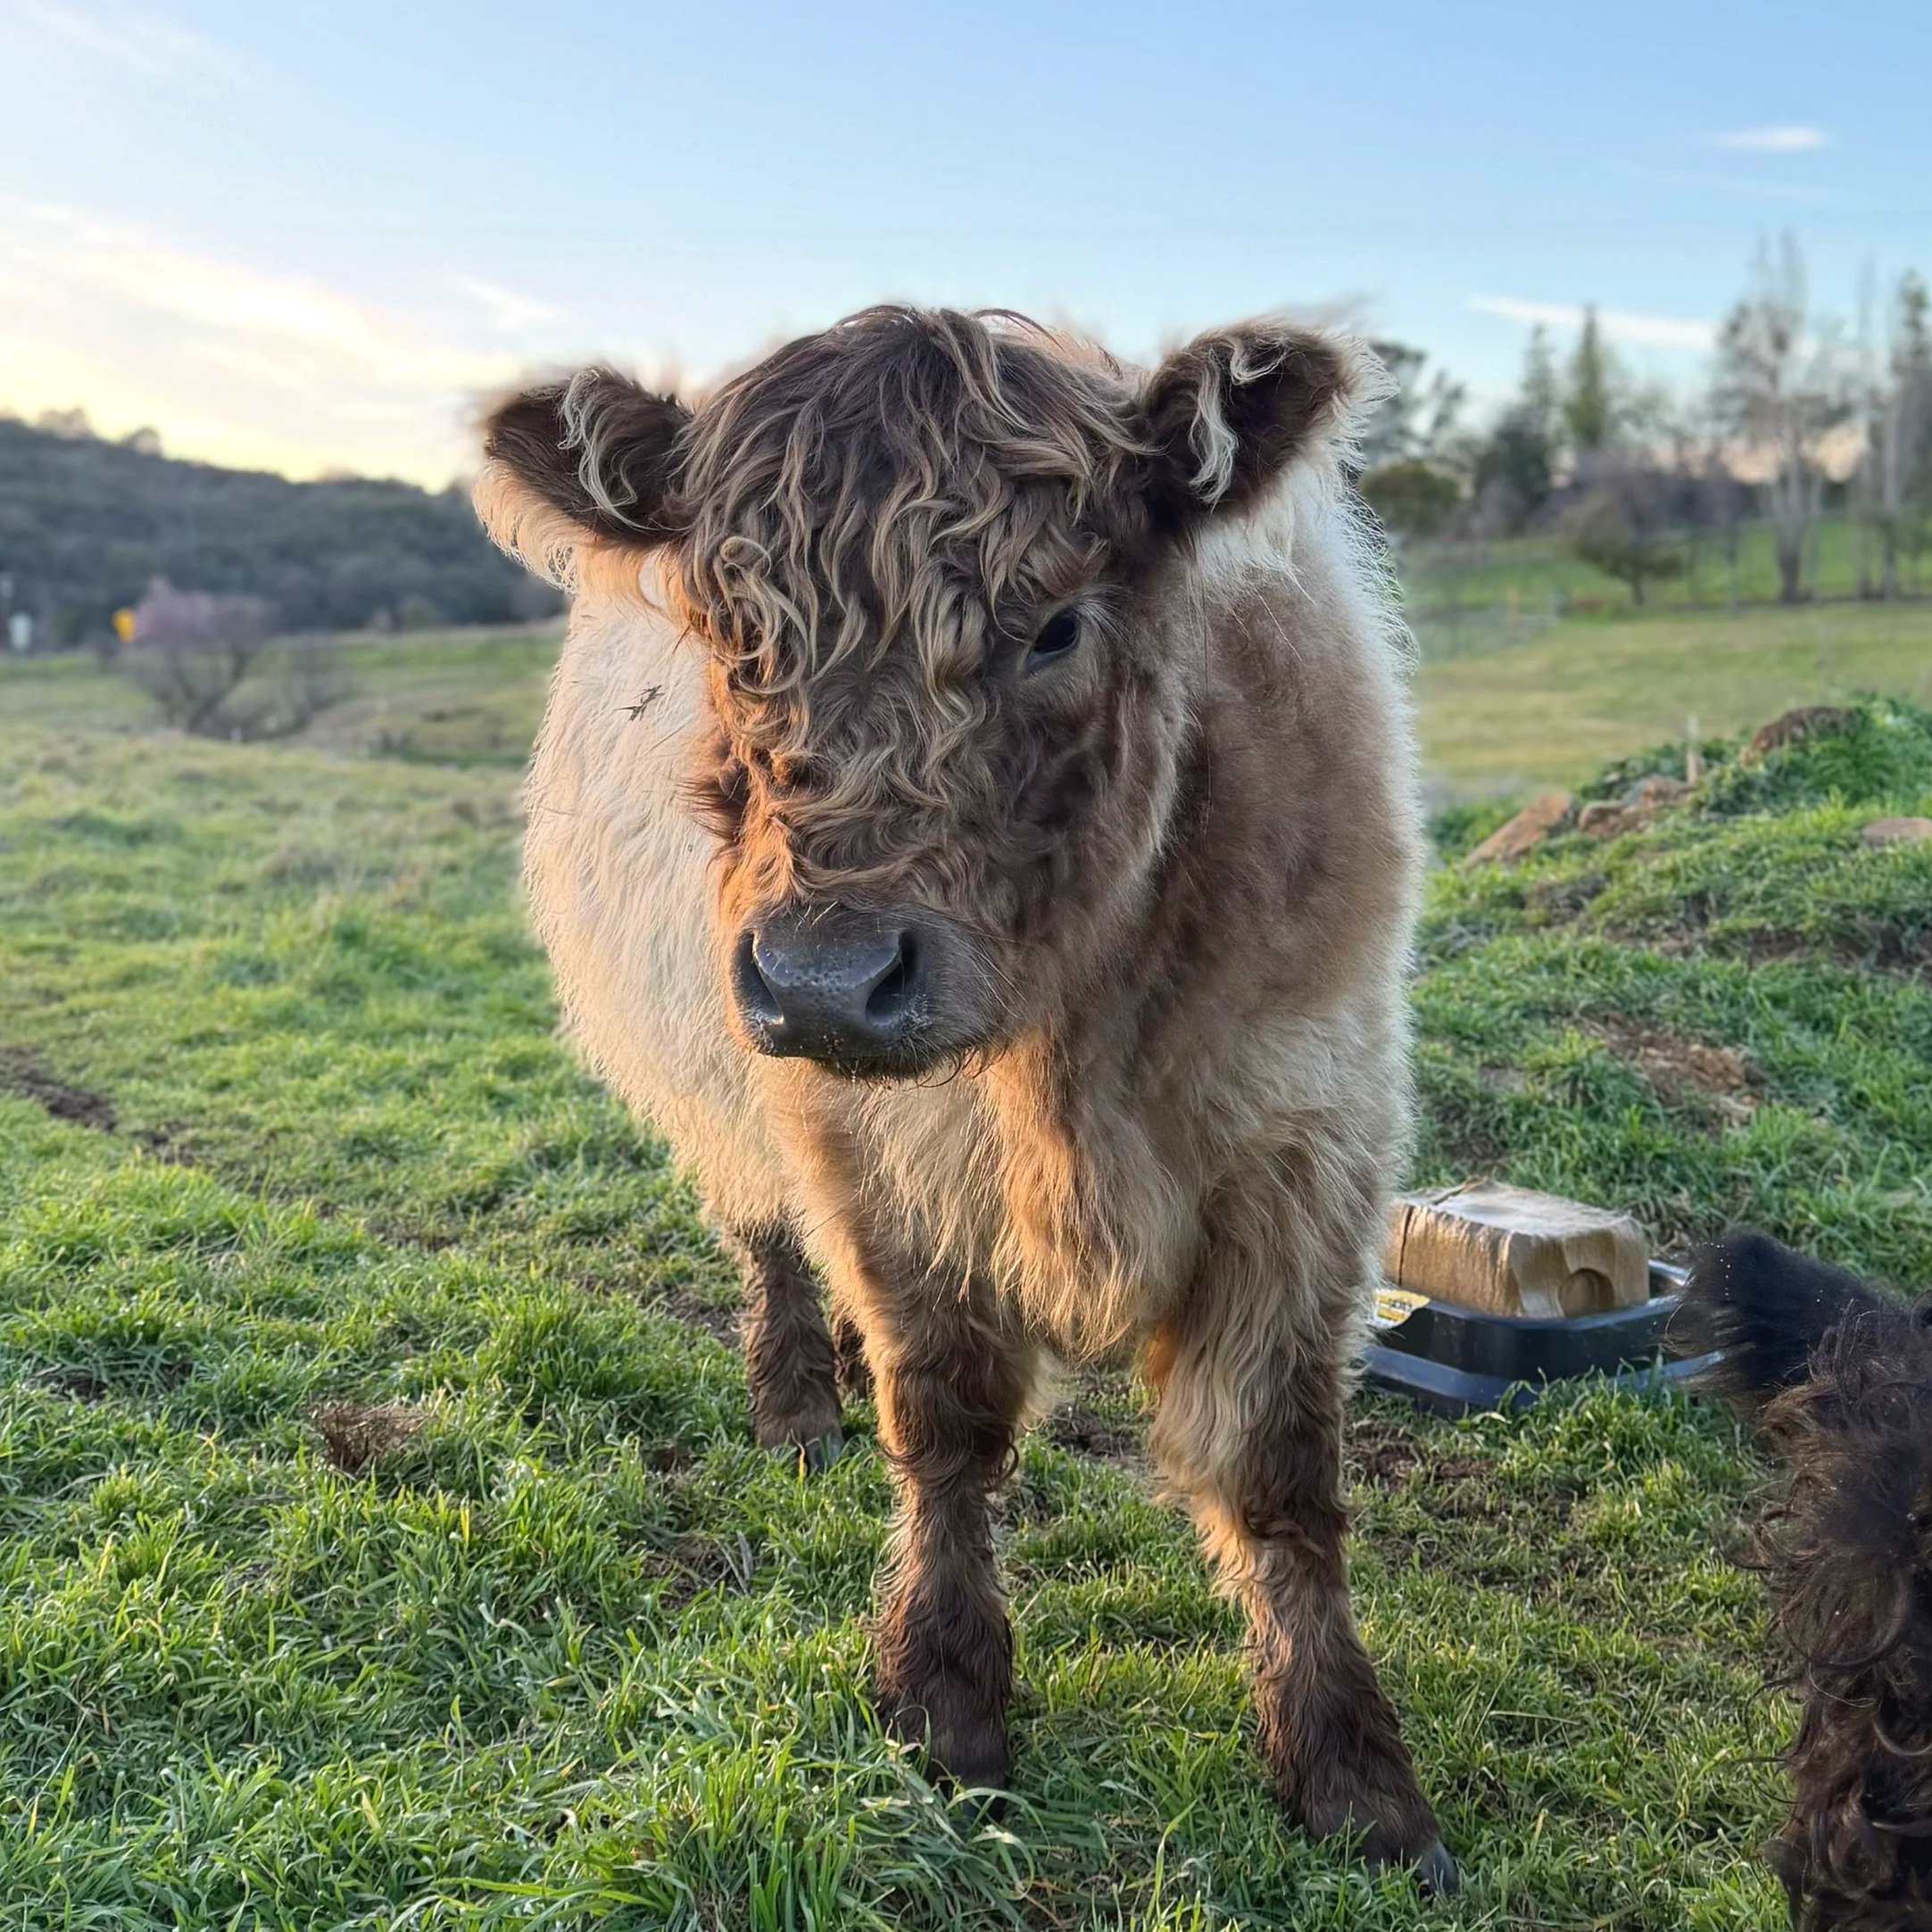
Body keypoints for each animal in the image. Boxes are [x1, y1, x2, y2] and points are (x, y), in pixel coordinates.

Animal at [476, 305, 1452, 1890]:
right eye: (730, 634)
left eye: (1054, 624)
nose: (825, 979)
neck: (1069, 1067)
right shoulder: (873, 1154)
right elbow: (941, 1422)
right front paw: (945, 1700)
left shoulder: (1309, 1144)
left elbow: (1274, 1470)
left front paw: (1353, 1770)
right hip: (725, 1088)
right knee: (765, 1237)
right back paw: (794, 1400)